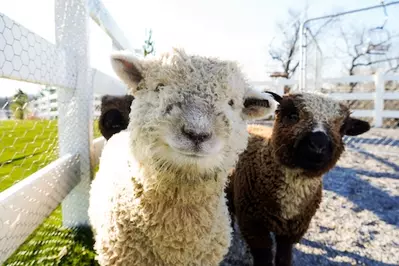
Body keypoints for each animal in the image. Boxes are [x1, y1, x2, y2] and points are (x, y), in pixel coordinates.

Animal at [227, 91, 374, 266]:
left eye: (343, 128)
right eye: (292, 115)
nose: (318, 144)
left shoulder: (293, 230)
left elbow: (284, 257)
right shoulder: (253, 225)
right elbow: (264, 257)